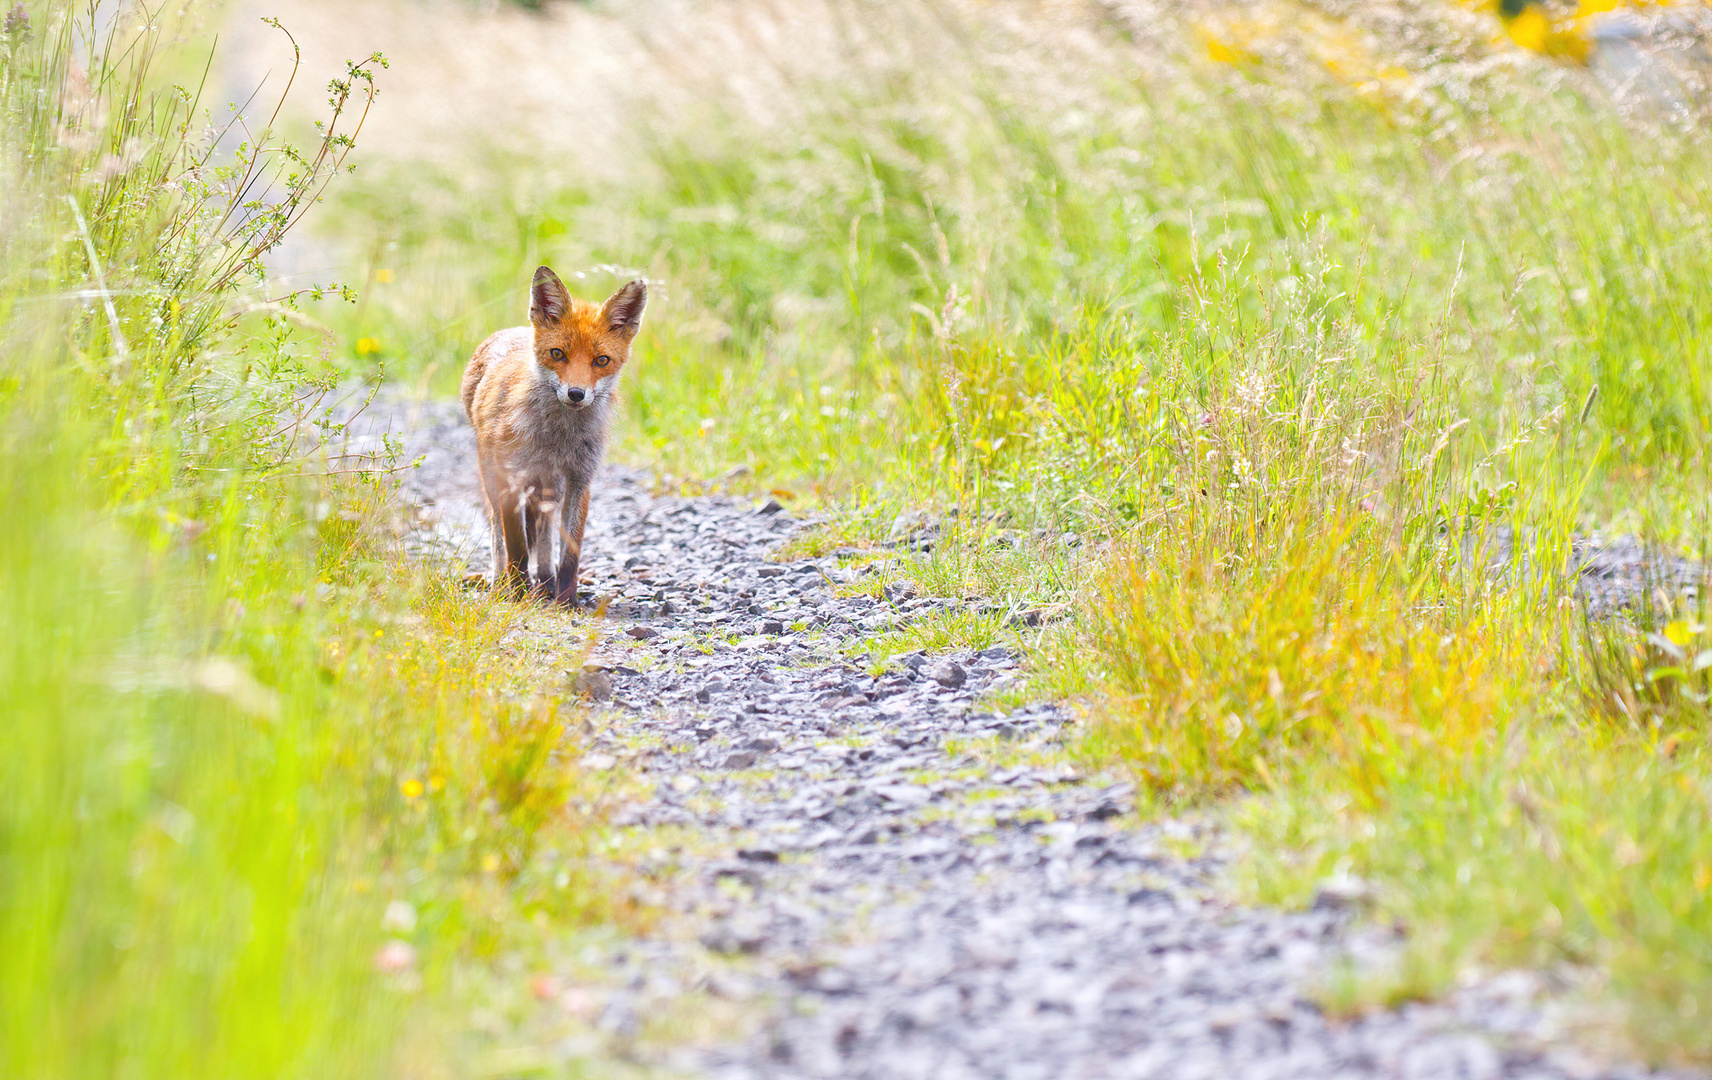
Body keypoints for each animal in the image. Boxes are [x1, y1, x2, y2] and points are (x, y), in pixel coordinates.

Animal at [458, 261, 643, 599]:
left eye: (601, 360)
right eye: (558, 354)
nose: (576, 394)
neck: (557, 439)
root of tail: (513, 330)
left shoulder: (580, 479)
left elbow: (570, 551)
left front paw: (566, 600)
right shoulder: (510, 479)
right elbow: (517, 547)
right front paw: (518, 595)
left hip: (550, 488)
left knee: (544, 529)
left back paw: (545, 581)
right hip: (491, 476)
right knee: (497, 531)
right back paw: (501, 581)